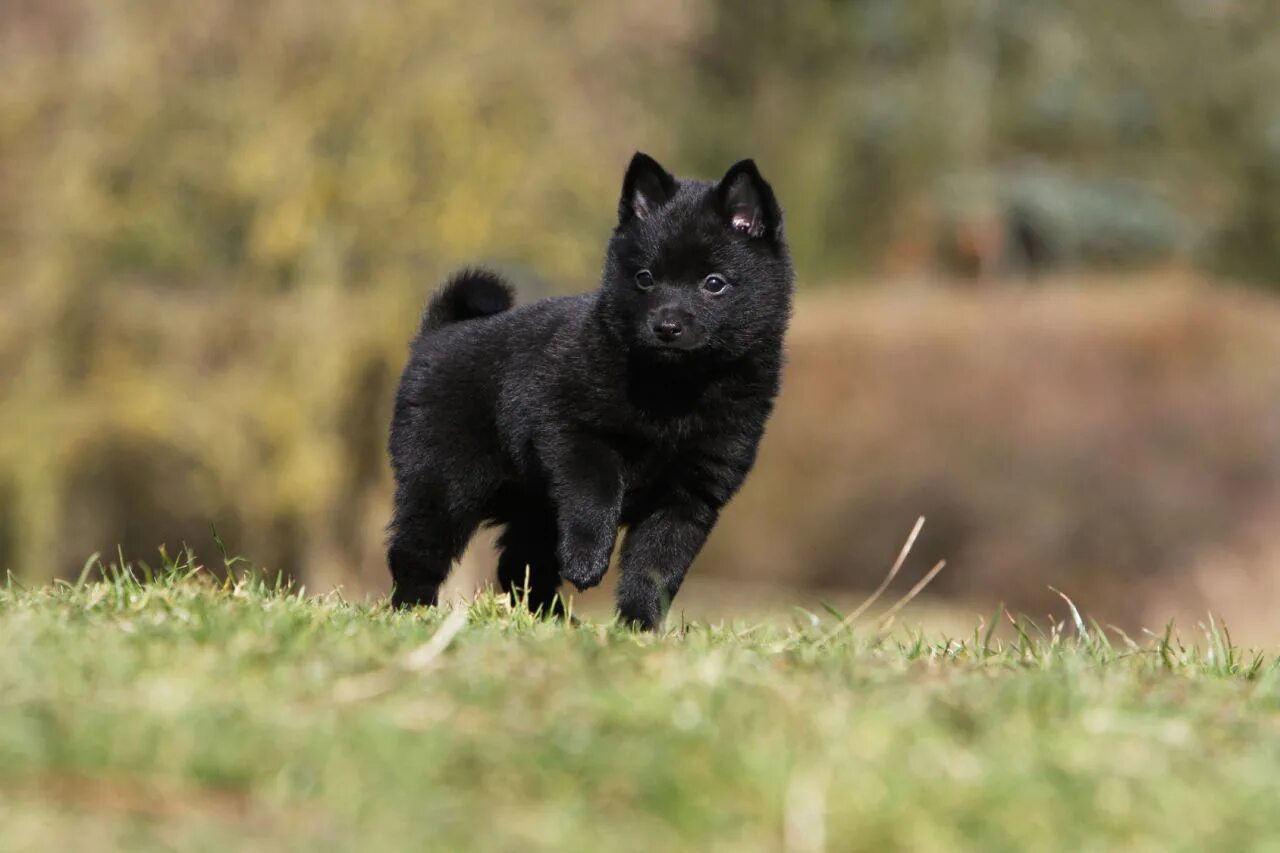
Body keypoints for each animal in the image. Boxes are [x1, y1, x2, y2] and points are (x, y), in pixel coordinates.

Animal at [384, 153, 793, 625]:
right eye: (645, 278)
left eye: (714, 283)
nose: (666, 326)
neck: (673, 389)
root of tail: (437, 334)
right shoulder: (575, 437)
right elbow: (595, 498)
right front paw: (587, 561)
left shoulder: (689, 493)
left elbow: (656, 568)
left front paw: (637, 625)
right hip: (444, 482)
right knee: (416, 550)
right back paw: (411, 610)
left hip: (530, 505)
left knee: (520, 563)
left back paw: (555, 619)